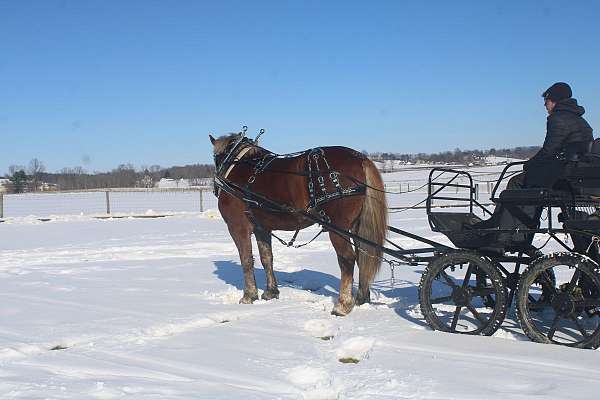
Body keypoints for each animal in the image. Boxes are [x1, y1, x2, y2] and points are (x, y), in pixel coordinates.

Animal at [211, 131, 390, 316]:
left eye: (216, 158)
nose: (216, 187)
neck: (238, 165)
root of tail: (360, 158)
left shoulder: (238, 227)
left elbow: (246, 260)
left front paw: (248, 296)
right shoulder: (262, 228)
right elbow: (267, 258)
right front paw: (270, 292)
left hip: (338, 229)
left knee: (347, 259)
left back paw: (342, 305)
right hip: (355, 227)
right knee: (363, 256)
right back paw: (361, 299)